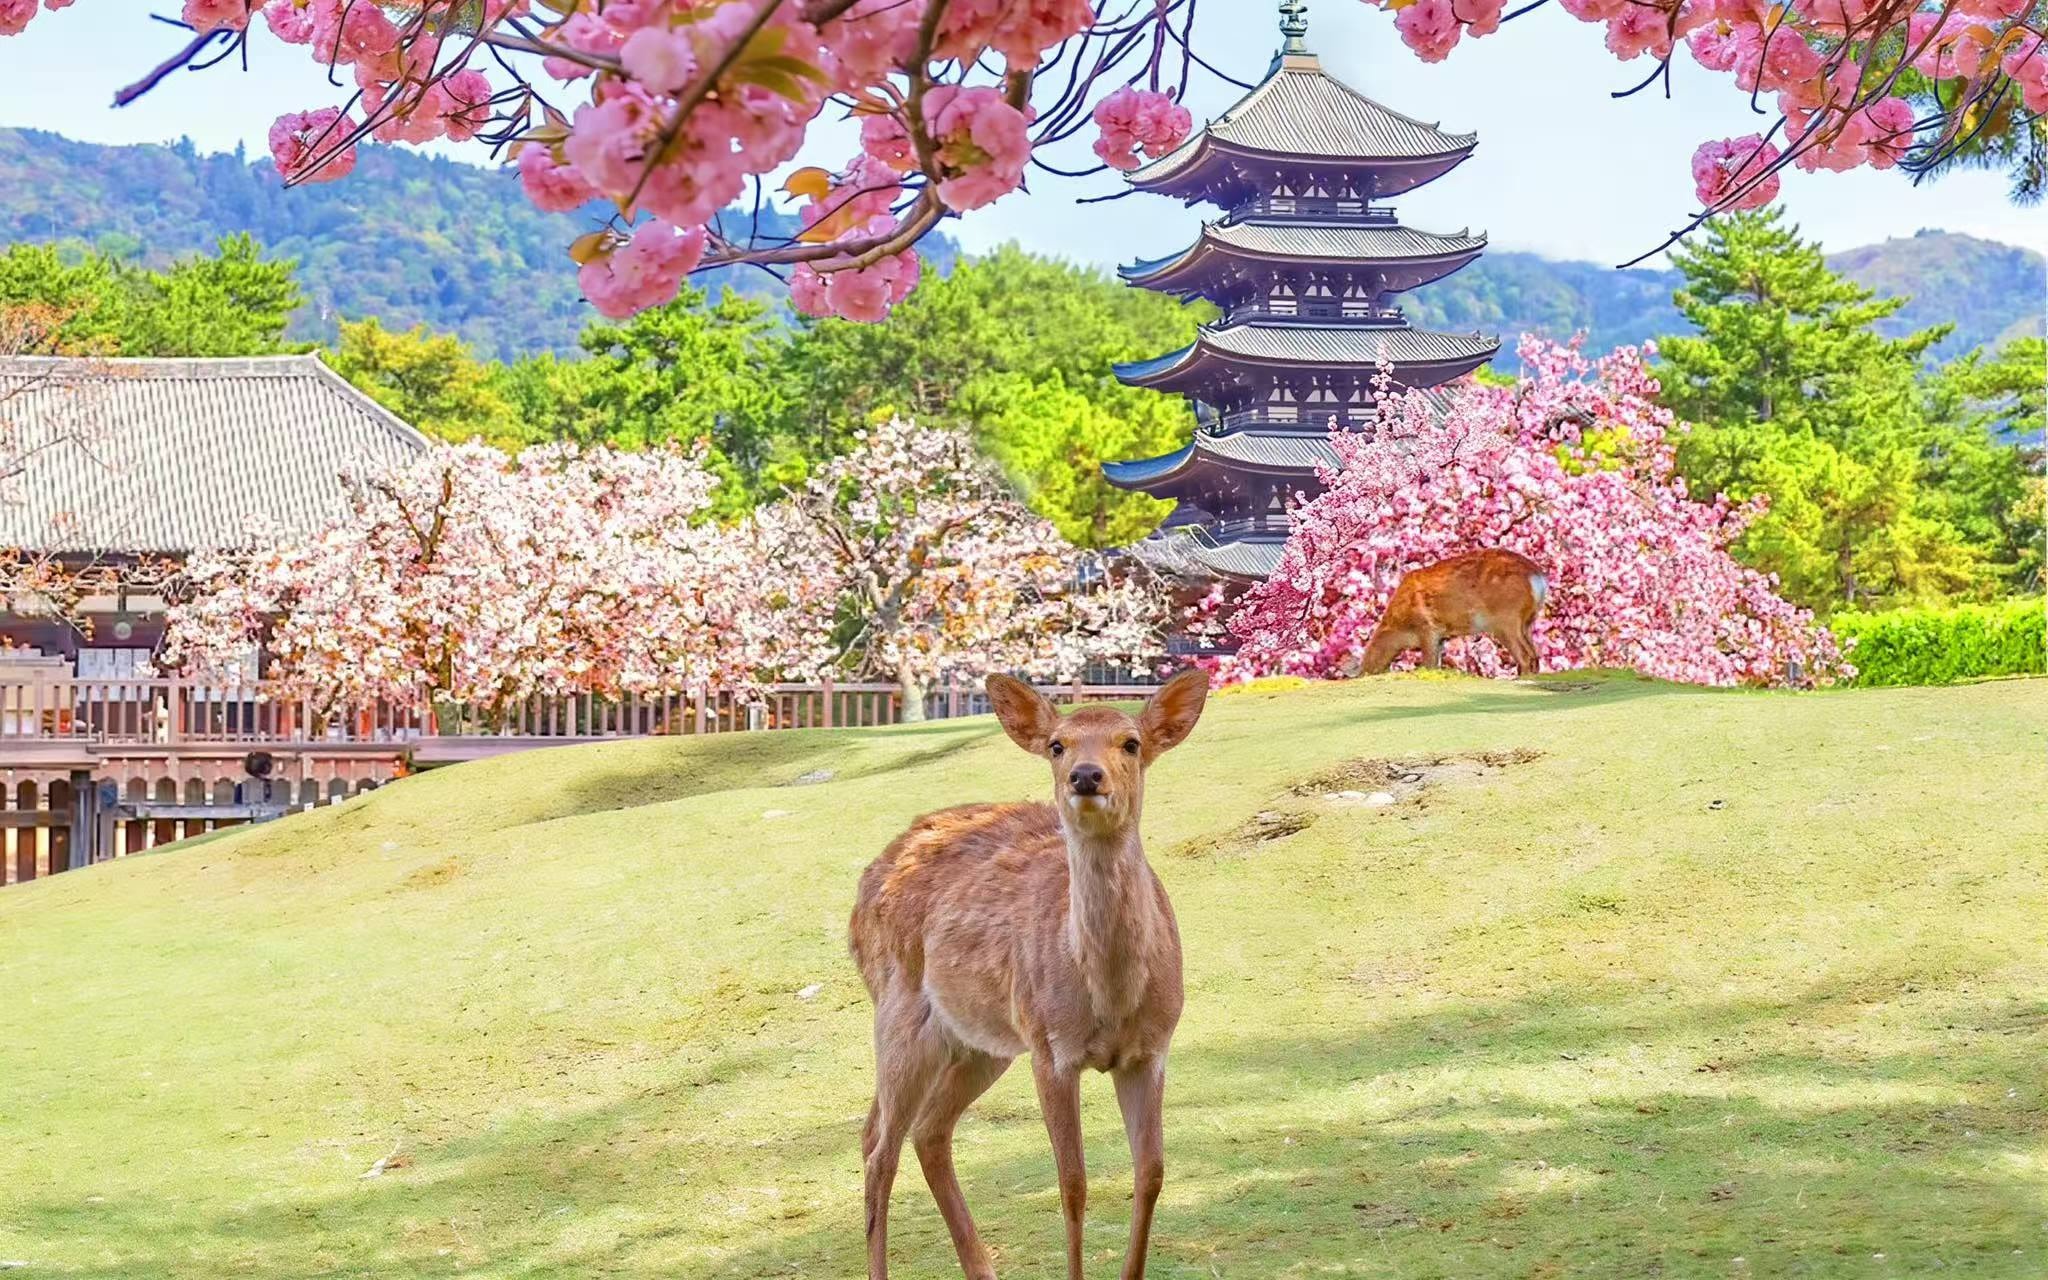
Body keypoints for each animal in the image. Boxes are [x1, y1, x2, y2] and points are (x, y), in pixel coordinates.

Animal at [848, 669, 1210, 1280]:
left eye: (1131, 743)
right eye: (1057, 745)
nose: (1086, 776)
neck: (1110, 999)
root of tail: (864, 887)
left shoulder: (1153, 1047)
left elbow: (1151, 1174)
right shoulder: (1050, 1048)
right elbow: (1073, 1183)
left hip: (981, 1041)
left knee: (928, 1129)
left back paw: (983, 1270)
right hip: (899, 1012)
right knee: (878, 1142)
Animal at [1357, 548, 1548, 677]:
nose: (1364, 674)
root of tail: (1538, 578)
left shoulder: (1427, 627)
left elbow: (1429, 665)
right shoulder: (1442, 635)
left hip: (1505, 618)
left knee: (1525, 656)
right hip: (1527, 621)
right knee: (1534, 656)